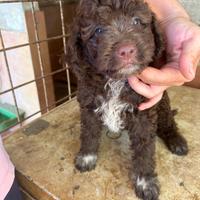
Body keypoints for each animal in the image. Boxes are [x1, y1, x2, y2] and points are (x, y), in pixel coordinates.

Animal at [65, 0, 188, 199]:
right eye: (98, 30)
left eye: (137, 21)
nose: (127, 51)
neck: (116, 80)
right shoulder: (88, 104)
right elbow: (89, 132)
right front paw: (87, 156)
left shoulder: (144, 113)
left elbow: (144, 149)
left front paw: (145, 182)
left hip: (162, 103)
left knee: (168, 122)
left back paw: (176, 140)